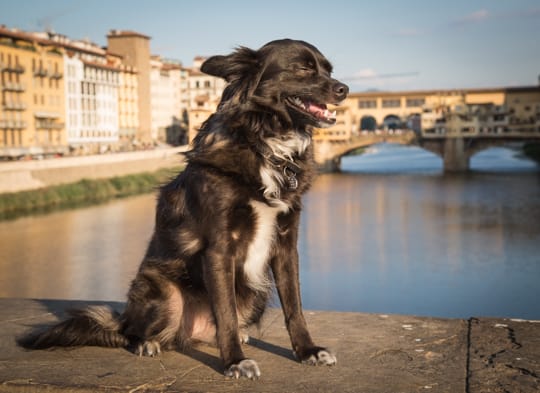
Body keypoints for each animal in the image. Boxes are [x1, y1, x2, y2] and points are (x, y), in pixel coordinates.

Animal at [17, 38, 350, 378]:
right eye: (303, 69)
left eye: (328, 70)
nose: (345, 89)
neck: (264, 143)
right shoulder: (219, 248)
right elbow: (226, 314)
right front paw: (234, 360)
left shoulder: (285, 244)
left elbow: (294, 308)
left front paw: (308, 350)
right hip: (166, 294)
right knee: (130, 332)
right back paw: (146, 343)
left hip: (256, 293)